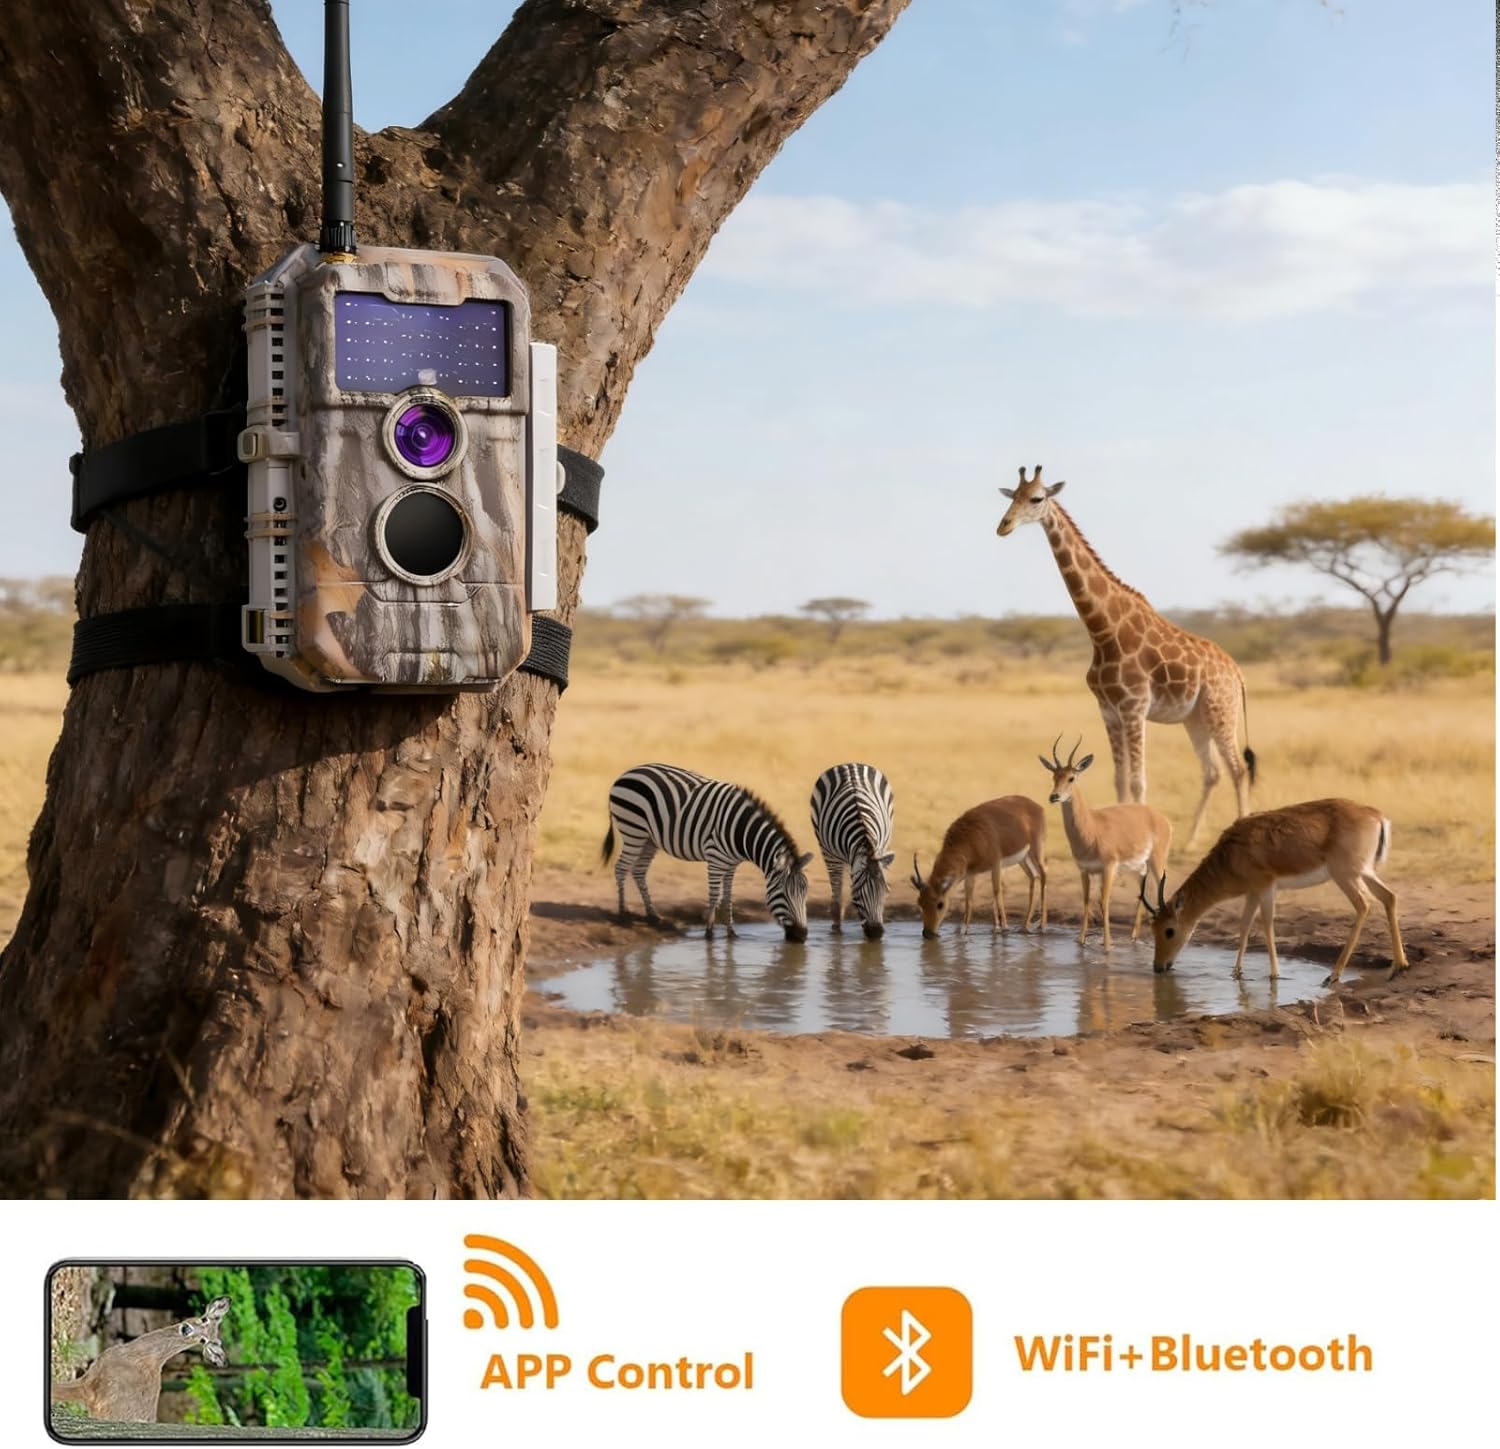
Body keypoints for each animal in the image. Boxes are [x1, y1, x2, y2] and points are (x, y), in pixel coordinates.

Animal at [50, 1296, 230, 1424]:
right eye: (204, 1319)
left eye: (203, 1341)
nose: (187, 1329)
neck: (137, 1356)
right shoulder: (92, 1376)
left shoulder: (95, 1392)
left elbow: (57, 1389)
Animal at [911, 796, 1048, 938]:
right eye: (920, 902)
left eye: (940, 904)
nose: (927, 933)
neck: (968, 840)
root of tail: (1037, 806)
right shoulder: (971, 873)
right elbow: (969, 899)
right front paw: (967, 930)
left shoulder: (996, 864)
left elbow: (997, 891)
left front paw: (1004, 928)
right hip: (1023, 859)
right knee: (1033, 877)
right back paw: (1025, 926)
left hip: (1036, 850)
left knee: (1044, 874)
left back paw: (1042, 927)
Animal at [1041, 735, 1171, 949]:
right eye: (1054, 776)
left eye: (1071, 777)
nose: (1054, 796)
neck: (1091, 828)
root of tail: (1162, 818)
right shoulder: (1084, 870)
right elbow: (1086, 901)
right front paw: (1081, 941)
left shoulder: (1109, 867)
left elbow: (1104, 902)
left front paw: (1107, 945)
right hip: (1139, 867)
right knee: (1144, 891)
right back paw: (1133, 937)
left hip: (1156, 861)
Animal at [1139, 798, 1409, 986]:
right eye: (1152, 928)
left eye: (1169, 930)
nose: (1158, 967)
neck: (1230, 856)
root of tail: (1375, 815)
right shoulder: (1252, 892)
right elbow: (1244, 927)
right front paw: (1236, 972)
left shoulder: (1266, 887)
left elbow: (1267, 925)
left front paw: (1275, 974)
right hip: (1364, 873)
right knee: (1389, 896)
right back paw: (1399, 965)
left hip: (1345, 876)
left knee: (1364, 904)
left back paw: (1333, 976)